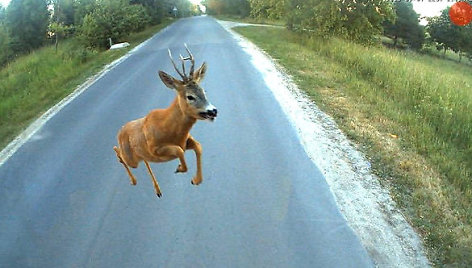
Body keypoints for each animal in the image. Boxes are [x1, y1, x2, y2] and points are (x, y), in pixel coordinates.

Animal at [112, 44, 218, 197]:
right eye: (190, 96)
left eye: (204, 91)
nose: (213, 111)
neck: (170, 129)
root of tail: (120, 131)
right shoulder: (155, 149)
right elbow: (179, 151)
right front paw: (180, 168)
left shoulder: (186, 141)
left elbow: (198, 146)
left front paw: (196, 180)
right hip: (130, 157)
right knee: (119, 154)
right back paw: (133, 180)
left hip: (137, 157)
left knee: (141, 160)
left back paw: (157, 189)